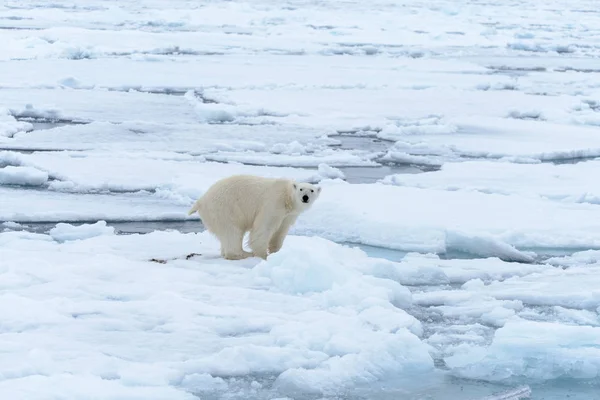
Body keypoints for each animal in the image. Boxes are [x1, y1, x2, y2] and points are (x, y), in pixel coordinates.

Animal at [188, 174, 322, 260]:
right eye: (301, 189)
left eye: (311, 190)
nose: (305, 197)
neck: (287, 198)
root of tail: (201, 200)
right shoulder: (273, 203)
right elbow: (263, 228)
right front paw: (263, 255)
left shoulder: (288, 215)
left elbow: (280, 232)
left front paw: (276, 252)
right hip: (225, 208)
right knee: (232, 231)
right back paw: (243, 254)